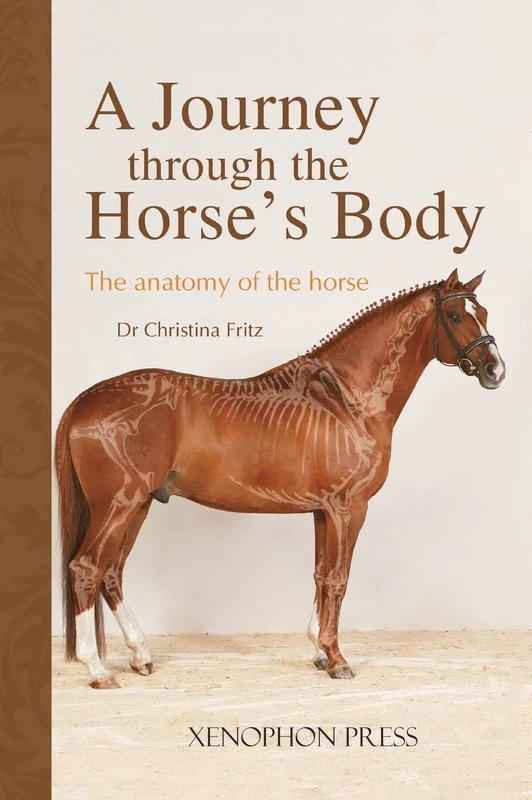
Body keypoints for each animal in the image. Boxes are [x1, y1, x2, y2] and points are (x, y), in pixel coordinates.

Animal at [55, 268, 506, 689]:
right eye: (454, 316)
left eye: (482, 312)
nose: (495, 370)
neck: (345, 400)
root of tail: (84, 400)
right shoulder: (348, 509)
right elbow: (339, 579)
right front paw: (337, 659)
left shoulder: (322, 511)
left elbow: (320, 574)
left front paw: (319, 651)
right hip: (119, 504)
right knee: (86, 568)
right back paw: (98, 669)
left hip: (140, 504)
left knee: (111, 572)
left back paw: (140, 656)